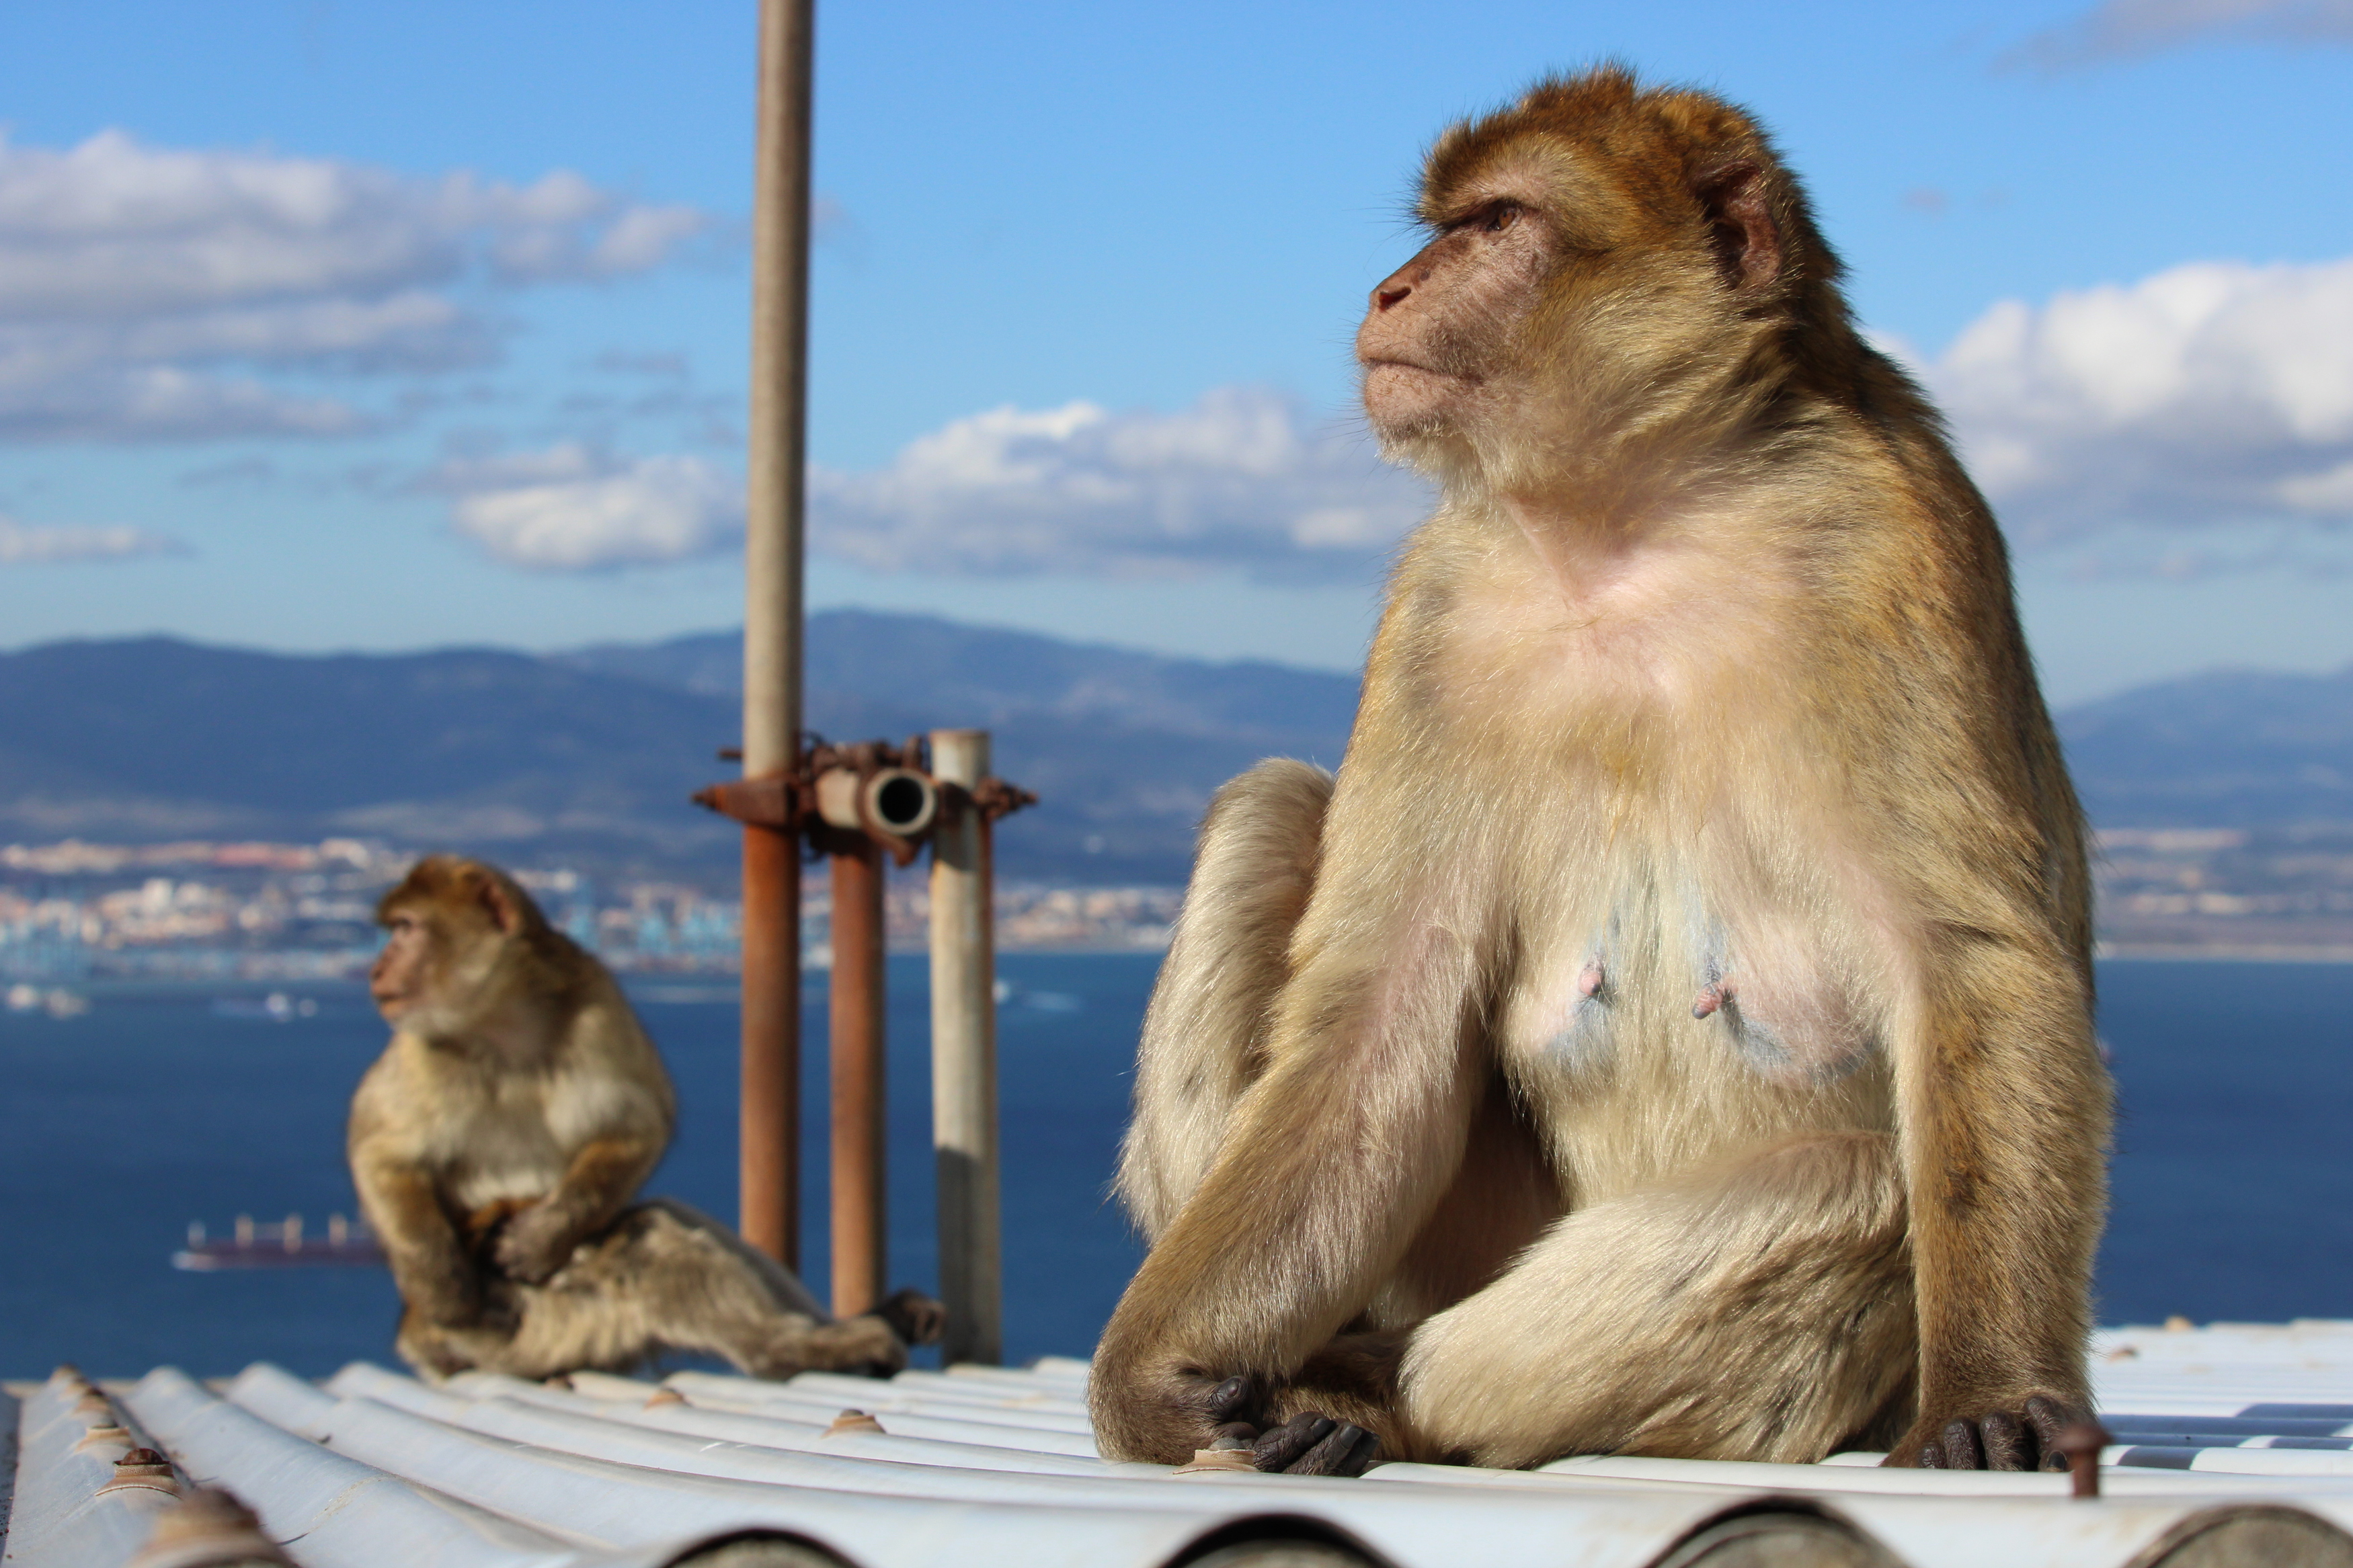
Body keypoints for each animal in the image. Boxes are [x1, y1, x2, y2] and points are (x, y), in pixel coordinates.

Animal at [349, 854, 945, 1382]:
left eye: (406, 928)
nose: (376, 967)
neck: (504, 1029)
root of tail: (414, 1339)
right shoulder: (423, 1050)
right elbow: (378, 1151)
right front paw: (448, 1288)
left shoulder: (594, 1003)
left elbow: (636, 1121)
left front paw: (539, 1238)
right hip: (530, 1328)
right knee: (643, 1240)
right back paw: (793, 1351)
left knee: (661, 1219)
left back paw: (863, 1320)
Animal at [1089, 66, 2107, 1478]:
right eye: (1445, 225)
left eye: (1498, 223)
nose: (1390, 290)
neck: (1629, 523)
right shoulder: (1439, 607)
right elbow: (1375, 1018)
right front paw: (1166, 1375)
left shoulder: (1900, 535)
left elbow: (1970, 958)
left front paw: (1995, 1386)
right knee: (1271, 808)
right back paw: (1325, 1374)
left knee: (1852, 1182)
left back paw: (1384, 1392)